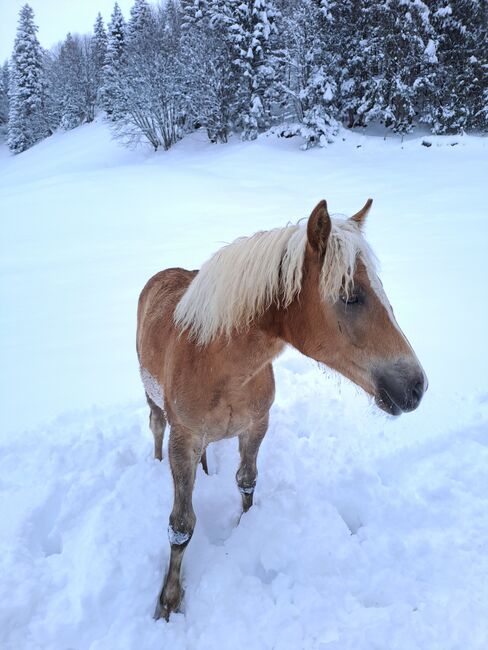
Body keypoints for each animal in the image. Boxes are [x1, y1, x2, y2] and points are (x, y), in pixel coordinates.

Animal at [136, 197, 428, 616]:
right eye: (350, 295)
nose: (416, 386)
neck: (219, 366)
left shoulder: (257, 425)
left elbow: (246, 482)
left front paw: (247, 527)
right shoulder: (184, 441)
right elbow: (181, 526)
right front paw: (168, 602)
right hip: (154, 403)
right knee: (156, 427)